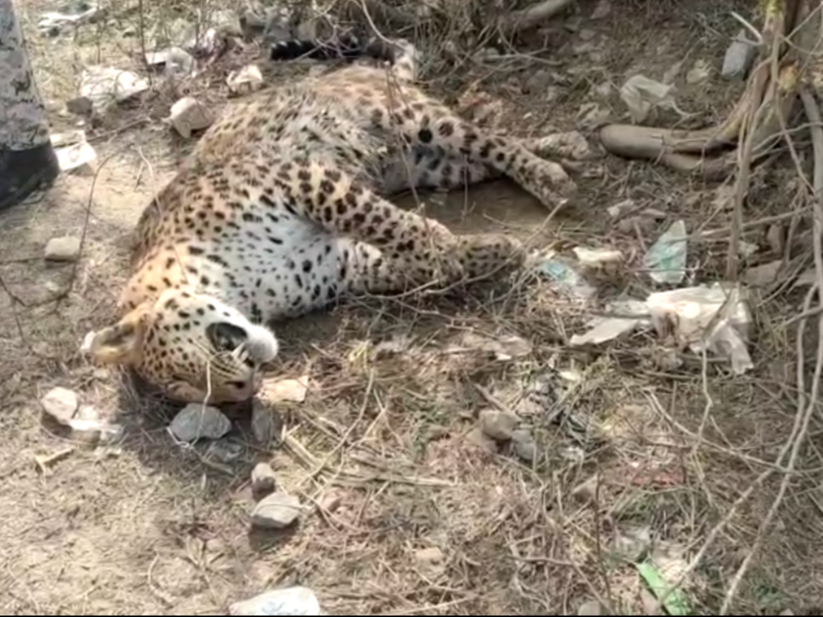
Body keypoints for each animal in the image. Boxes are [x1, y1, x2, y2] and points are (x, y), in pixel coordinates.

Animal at [80, 35, 577, 406]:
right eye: (188, 394)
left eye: (183, 373)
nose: (243, 390)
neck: (239, 286)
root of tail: (358, 71)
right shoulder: (338, 262)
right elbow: (406, 264)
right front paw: (489, 251)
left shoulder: (304, 180)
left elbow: (387, 223)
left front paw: (442, 242)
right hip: (433, 167)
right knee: (489, 155)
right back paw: (561, 148)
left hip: (413, 119)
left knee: (492, 139)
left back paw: (554, 174)